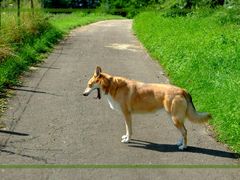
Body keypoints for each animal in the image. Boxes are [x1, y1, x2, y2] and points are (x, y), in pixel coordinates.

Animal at [83, 67, 211, 150]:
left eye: (89, 85)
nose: (83, 94)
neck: (111, 85)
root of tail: (183, 90)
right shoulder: (126, 115)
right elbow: (127, 129)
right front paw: (126, 137)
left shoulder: (127, 114)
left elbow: (129, 130)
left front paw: (127, 140)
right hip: (175, 118)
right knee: (183, 131)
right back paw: (180, 142)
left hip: (175, 119)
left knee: (184, 131)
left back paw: (184, 146)